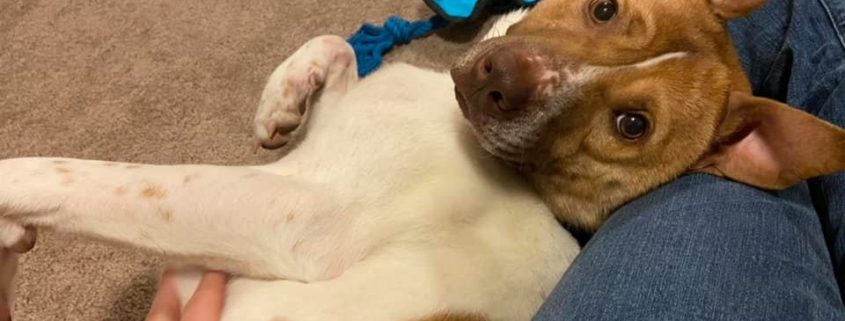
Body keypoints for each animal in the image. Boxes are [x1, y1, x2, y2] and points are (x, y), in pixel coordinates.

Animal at [0, 0, 840, 320]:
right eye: (603, 7)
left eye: (631, 123)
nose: (498, 77)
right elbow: (337, 45)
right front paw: (281, 103)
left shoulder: (299, 217)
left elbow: (84, 176)